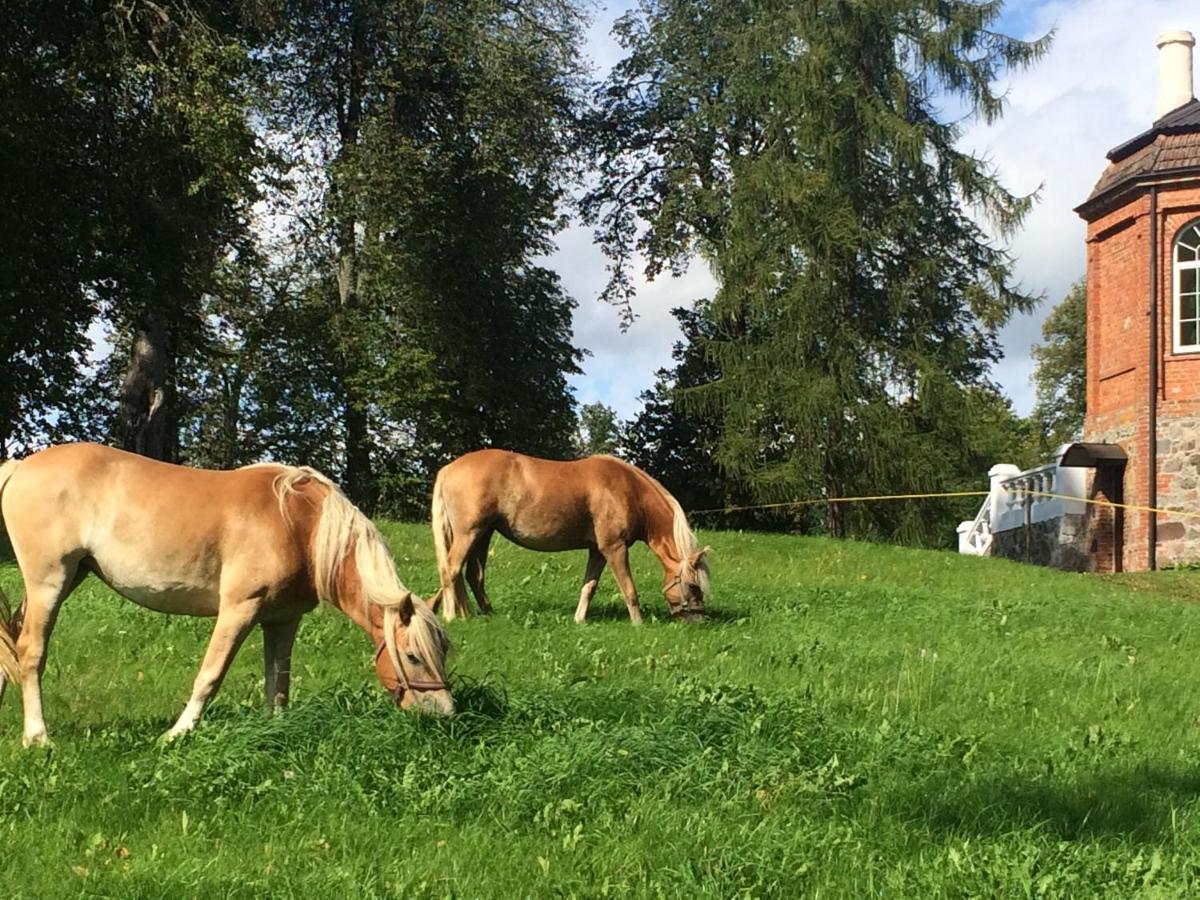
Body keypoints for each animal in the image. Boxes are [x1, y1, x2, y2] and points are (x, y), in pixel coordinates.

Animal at [0, 444, 451, 748]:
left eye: (445, 652)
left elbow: (278, 681)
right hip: (49, 582)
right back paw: (38, 737)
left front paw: (275, 728)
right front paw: (177, 733)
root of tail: (22, 466)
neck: (299, 523)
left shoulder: (282, 619)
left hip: (67, 578)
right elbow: (210, 674)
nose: (445, 714)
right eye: (413, 656)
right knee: (31, 651)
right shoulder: (239, 609)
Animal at [432, 451, 710, 628]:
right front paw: (638, 624)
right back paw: (451, 616)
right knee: (451, 570)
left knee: (472, 575)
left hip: (483, 534)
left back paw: (481, 614)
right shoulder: (615, 548)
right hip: (469, 534)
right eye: (692, 585)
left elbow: (589, 587)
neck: (629, 491)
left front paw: (579, 619)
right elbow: (629, 589)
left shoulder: (598, 551)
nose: (698, 621)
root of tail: (447, 469)